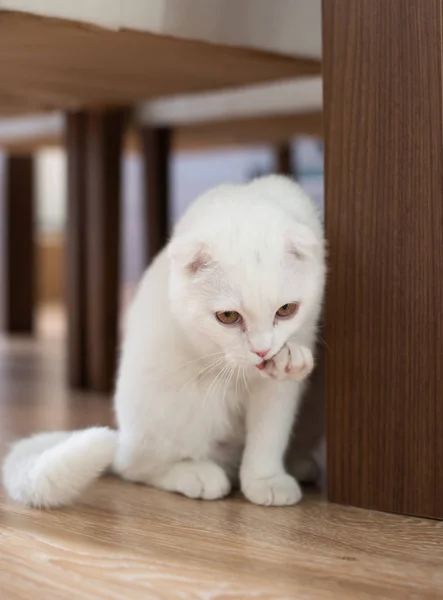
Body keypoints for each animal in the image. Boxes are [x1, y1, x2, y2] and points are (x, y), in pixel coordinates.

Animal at [2, 176, 326, 508]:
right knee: (137, 466)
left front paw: (266, 477)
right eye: (227, 316)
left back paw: (299, 463)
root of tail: (123, 438)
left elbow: (269, 432)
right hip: (182, 409)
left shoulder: (280, 387)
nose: (262, 350)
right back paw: (196, 474)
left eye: (286, 310)